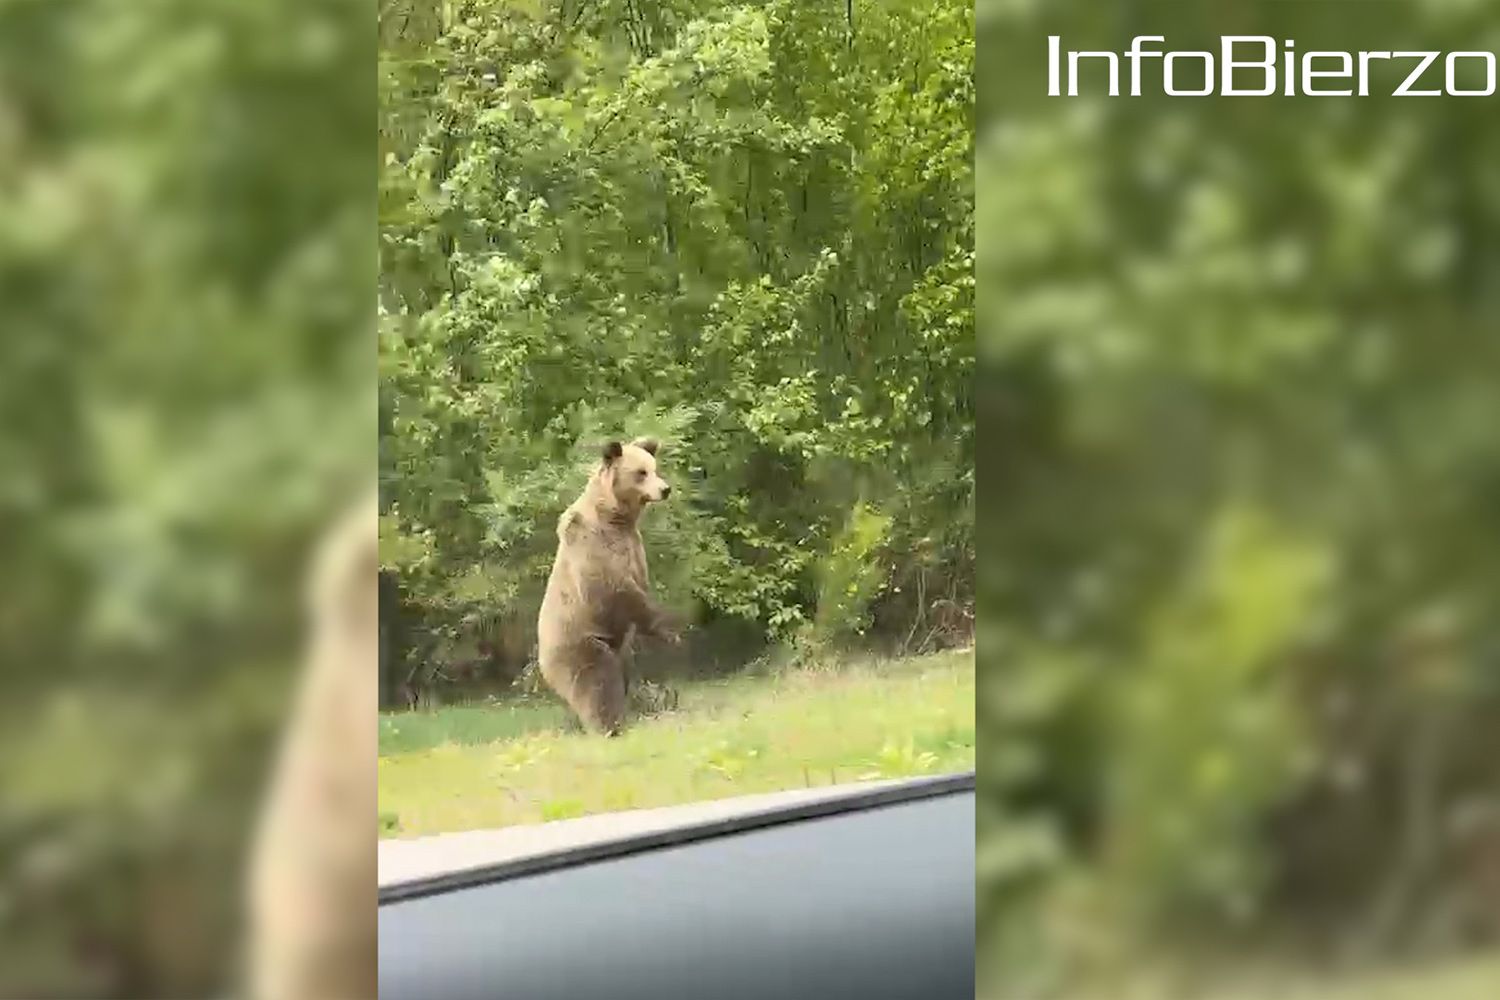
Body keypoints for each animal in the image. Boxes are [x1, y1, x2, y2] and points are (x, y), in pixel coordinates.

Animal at [537, 437, 680, 735]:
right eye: (641, 472)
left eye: (654, 467)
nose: (665, 489)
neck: (616, 517)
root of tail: (542, 662)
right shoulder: (594, 546)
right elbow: (616, 589)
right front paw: (669, 629)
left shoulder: (634, 544)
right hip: (582, 643)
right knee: (598, 682)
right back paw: (610, 726)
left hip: (619, 647)